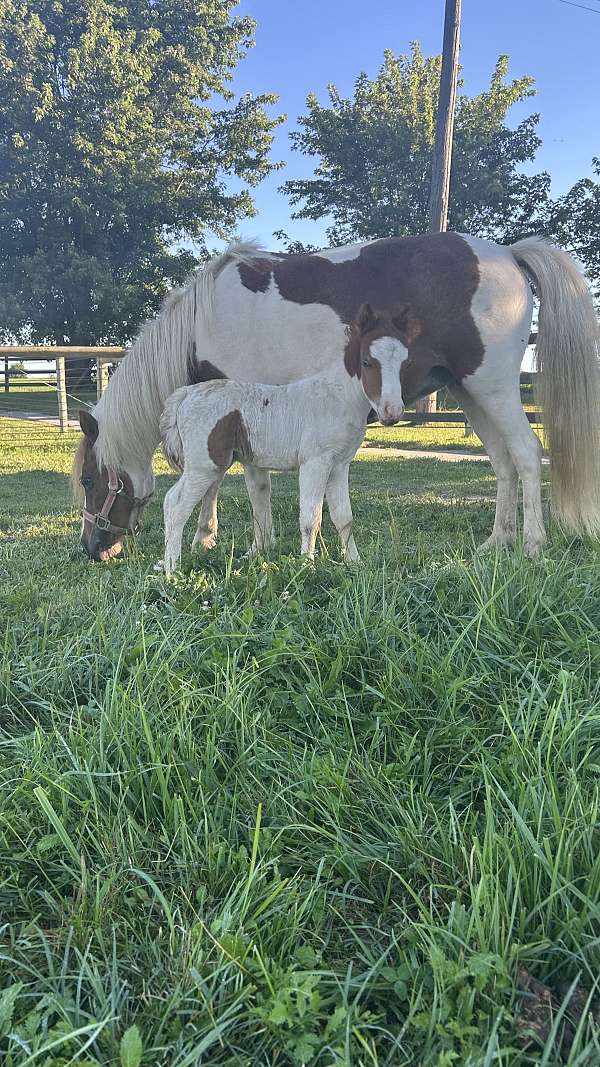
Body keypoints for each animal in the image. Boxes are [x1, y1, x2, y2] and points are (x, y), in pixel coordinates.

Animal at [158, 303, 410, 572]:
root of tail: (186, 393)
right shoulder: (315, 463)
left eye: (404, 362)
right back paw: (172, 568)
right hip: (204, 466)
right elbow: (311, 518)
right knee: (175, 504)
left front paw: (354, 562)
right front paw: (307, 565)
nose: (392, 412)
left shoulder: (340, 466)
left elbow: (344, 517)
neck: (338, 397)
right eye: (366, 361)